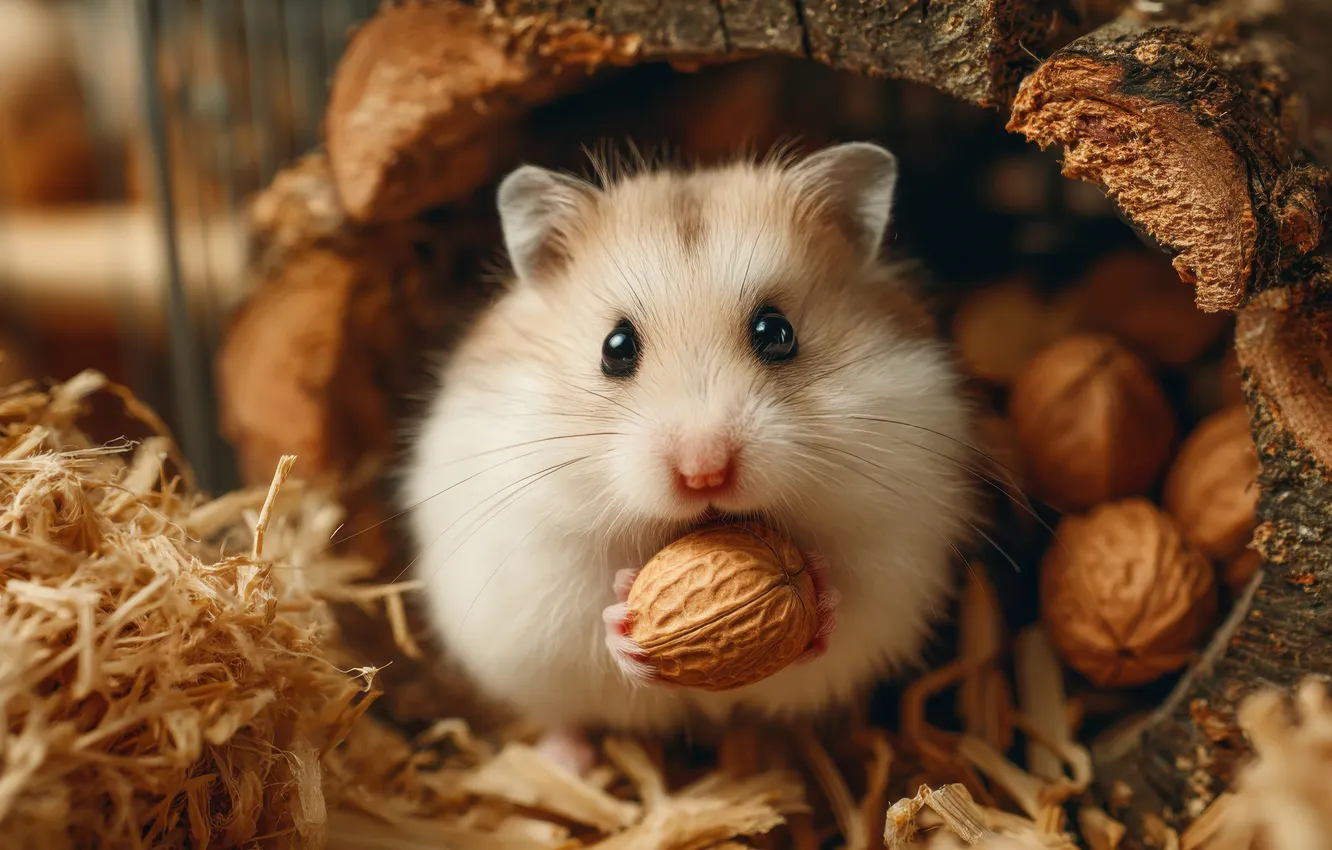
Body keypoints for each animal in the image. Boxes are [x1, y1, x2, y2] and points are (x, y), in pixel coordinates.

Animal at [401, 142, 980, 774]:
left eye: (777, 332)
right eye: (615, 348)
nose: (705, 472)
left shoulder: (888, 545)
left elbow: (845, 602)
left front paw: (820, 591)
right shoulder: (540, 565)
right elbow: (589, 612)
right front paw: (623, 613)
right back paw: (564, 763)